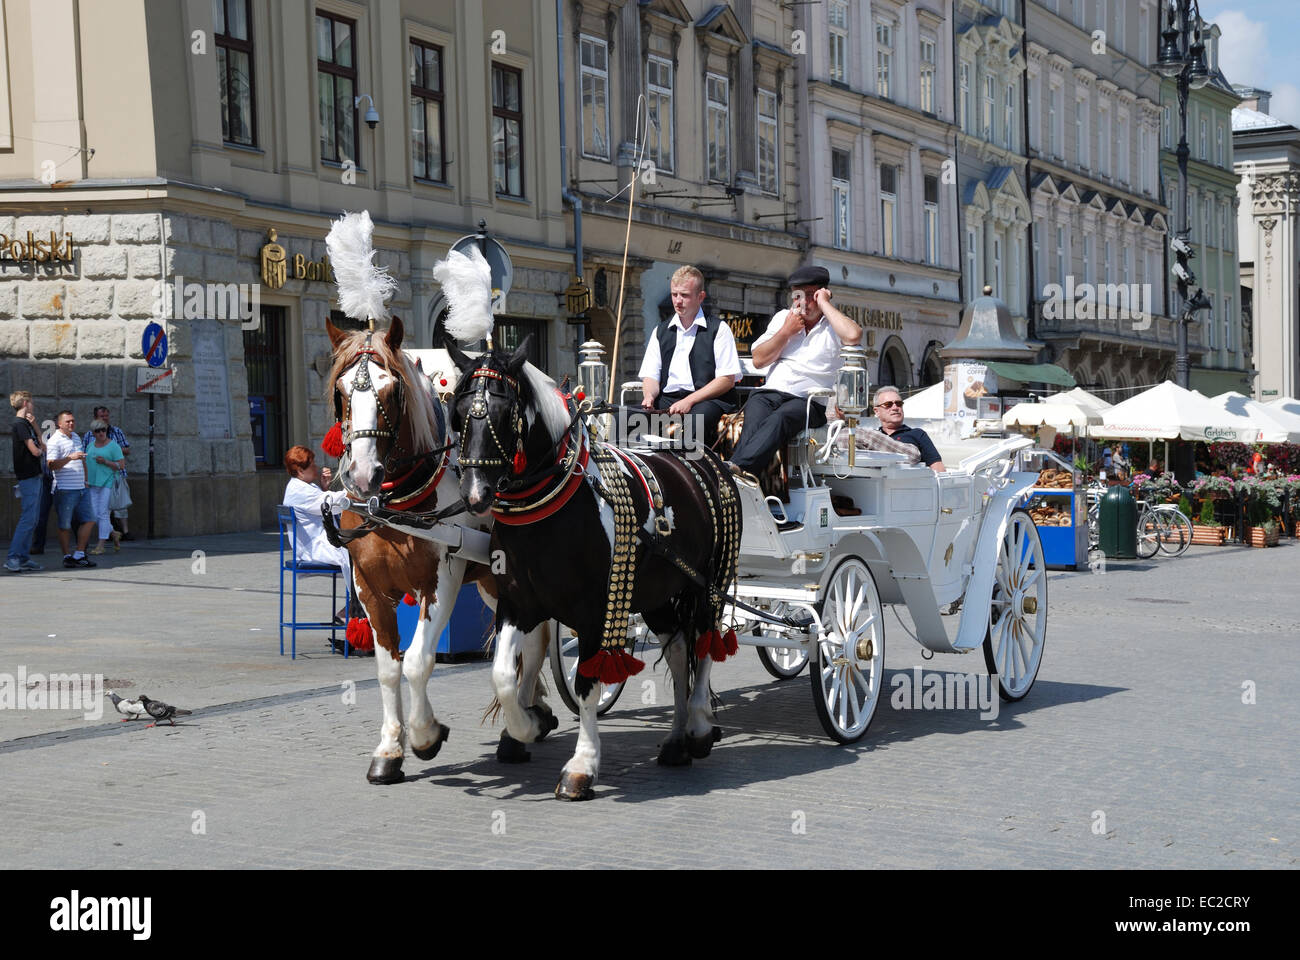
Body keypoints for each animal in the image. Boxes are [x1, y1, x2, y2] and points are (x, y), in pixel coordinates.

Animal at [325, 315, 558, 785]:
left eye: (392, 390)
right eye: (340, 391)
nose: (362, 475)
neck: (395, 501)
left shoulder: (441, 581)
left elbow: (418, 660)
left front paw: (425, 735)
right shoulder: (369, 588)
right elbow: (388, 668)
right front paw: (389, 750)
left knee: (536, 643)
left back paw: (521, 728)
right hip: (491, 582)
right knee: (529, 643)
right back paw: (530, 715)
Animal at [446, 337, 742, 800]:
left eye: (504, 411)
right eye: (457, 413)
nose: (476, 493)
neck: (551, 505)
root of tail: (708, 457)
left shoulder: (593, 611)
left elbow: (587, 685)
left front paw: (581, 766)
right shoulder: (518, 603)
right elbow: (503, 675)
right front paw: (529, 726)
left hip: (708, 583)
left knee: (706, 644)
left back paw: (696, 725)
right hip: (658, 591)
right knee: (679, 651)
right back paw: (677, 741)